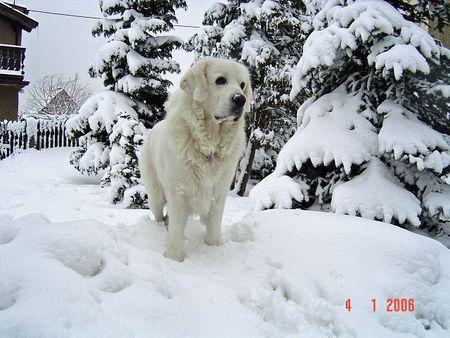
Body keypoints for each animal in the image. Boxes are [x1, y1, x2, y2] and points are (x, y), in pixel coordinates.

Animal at [139, 57, 251, 262]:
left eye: (242, 85)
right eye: (220, 80)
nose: (241, 99)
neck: (208, 145)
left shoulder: (218, 195)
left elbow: (213, 232)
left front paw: (213, 250)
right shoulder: (179, 194)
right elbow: (176, 232)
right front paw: (174, 259)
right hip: (155, 196)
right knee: (159, 216)